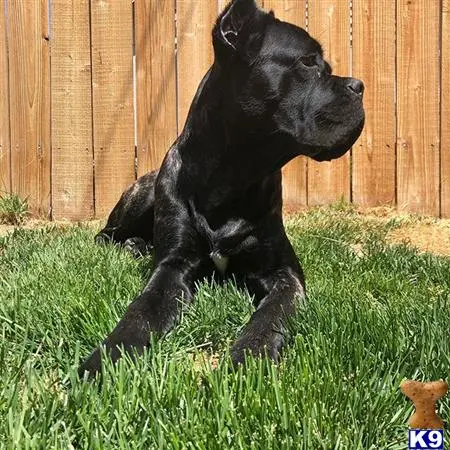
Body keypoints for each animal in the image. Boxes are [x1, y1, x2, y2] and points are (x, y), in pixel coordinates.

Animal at [79, 0, 364, 378]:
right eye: (307, 62)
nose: (359, 85)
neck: (234, 178)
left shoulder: (284, 273)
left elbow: (271, 315)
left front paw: (252, 355)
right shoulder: (173, 268)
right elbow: (140, 311)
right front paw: (106, 358)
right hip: (143, 193)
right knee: (106, 234)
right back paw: (131, 246)